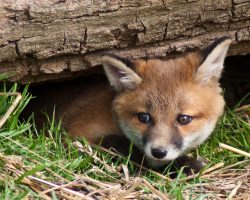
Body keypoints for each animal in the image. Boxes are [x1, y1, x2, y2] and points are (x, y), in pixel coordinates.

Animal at [24, 36, 231, 170]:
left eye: (184, 119)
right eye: (144, 117)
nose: (159, 151)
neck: (112, 117)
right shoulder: (74, 134)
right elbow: (125, 148)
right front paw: (183, 164)